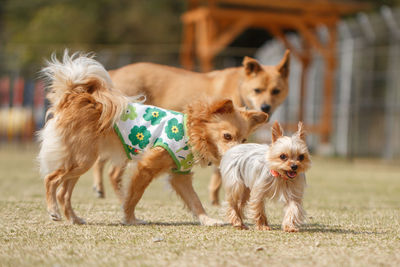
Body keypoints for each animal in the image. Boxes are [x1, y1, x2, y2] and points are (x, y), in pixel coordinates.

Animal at [92, 50, 290, 205]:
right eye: (257, 90)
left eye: (276, 91)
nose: (266, 107)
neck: (238, 87)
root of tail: (114, 72)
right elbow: (220, 175)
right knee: (109, 170)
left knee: (104, 165)